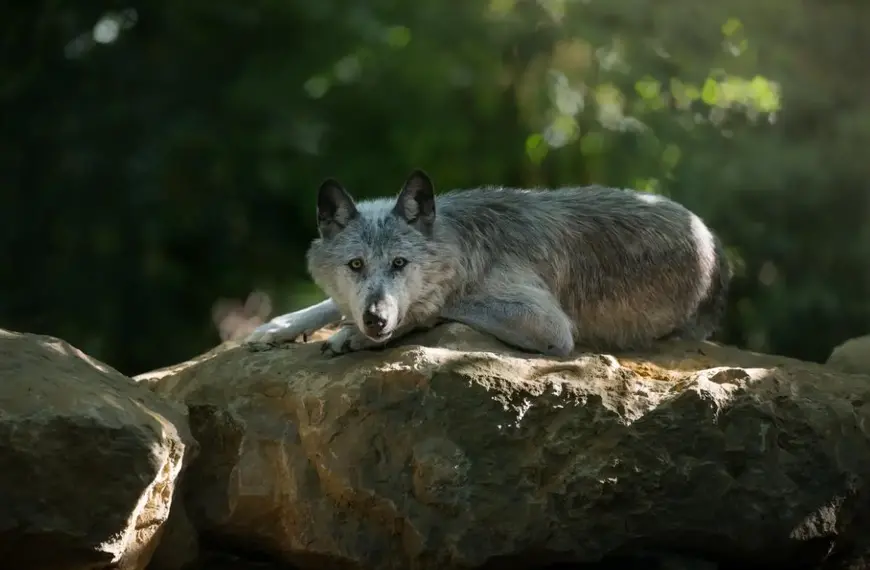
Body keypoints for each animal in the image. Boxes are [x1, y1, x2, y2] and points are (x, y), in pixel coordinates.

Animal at [245, 169, 731, 358]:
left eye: (400, 263)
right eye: (355, 265)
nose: (376, 320)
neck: (465, 248)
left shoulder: (550, 326)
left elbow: (435, 307)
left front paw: (355, 336)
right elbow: (327, 303)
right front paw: (277, 326)